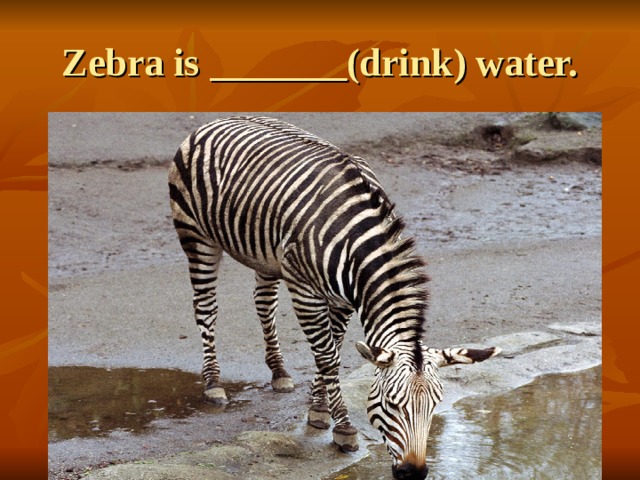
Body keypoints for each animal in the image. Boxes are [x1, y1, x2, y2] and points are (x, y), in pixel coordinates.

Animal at [168, 116, 500, 479]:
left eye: (434, 406)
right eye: (391, 404)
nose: (413, 473)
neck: (356, 242)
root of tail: (219, 120)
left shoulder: (342, 299)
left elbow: (332, 350)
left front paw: (318, 409)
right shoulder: (305, 290)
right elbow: (327, 356)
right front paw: (342, 428)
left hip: (265, 257)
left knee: (264, 303)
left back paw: (279, 371)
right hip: (196, 237)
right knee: (206, 306)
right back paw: (213, 382)